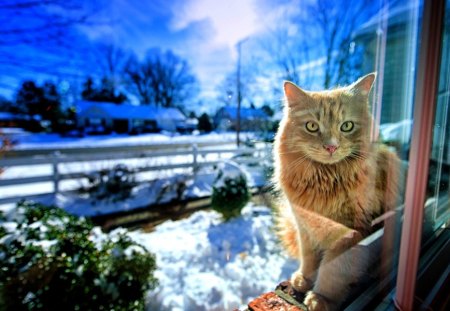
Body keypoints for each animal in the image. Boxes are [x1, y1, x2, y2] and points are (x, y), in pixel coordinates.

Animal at [272, 73, 400, 311]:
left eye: (347, 126)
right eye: (312, 126)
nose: (331, 147)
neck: (325, 181)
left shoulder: (350, 234)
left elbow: (333, 270)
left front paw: (320, 298)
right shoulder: (306, 226)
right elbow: (309, 258)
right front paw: (304, 279)